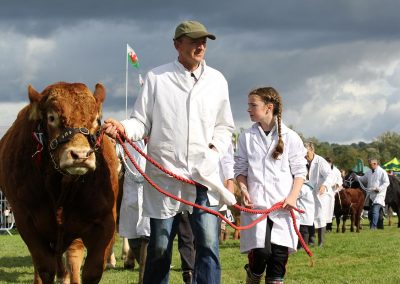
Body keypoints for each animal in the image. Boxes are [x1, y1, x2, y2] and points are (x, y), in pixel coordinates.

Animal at [0, 81, 119, 282]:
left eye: (96, 119)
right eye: (52, 117)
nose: (80, 155)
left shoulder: (105, 221)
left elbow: (92, 271)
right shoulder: (25, 221)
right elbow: (45, 268)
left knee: (72, 256)